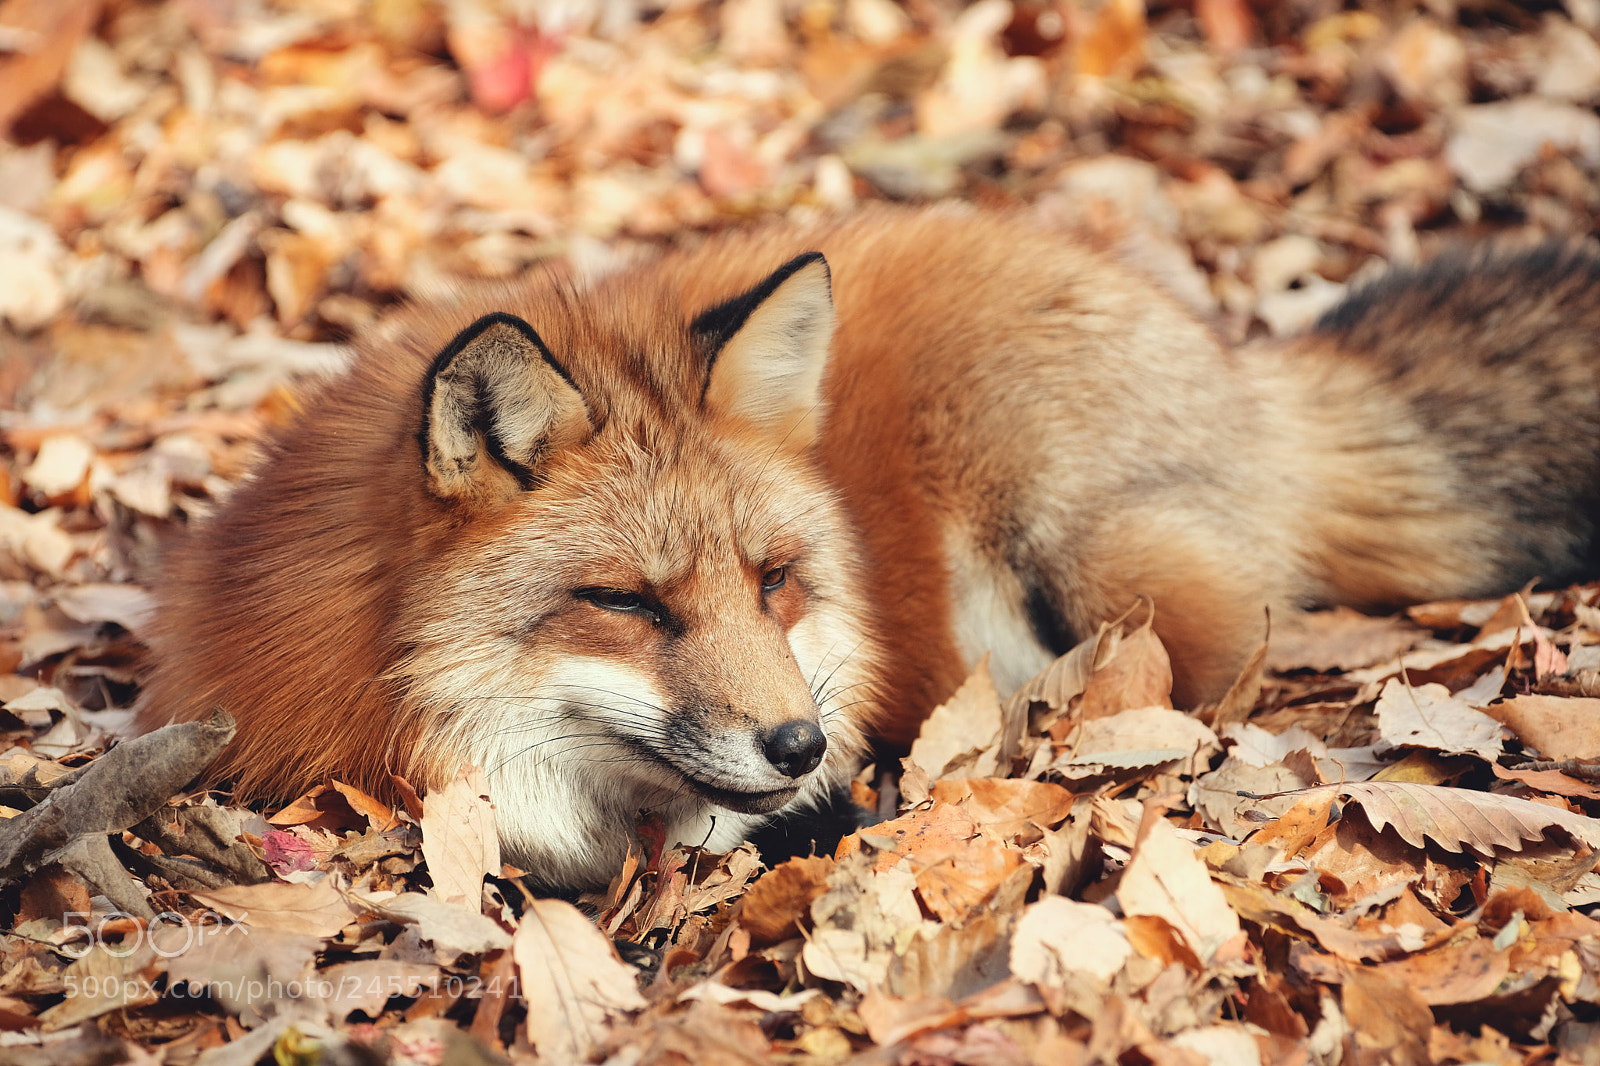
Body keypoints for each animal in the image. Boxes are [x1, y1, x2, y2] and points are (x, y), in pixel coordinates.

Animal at [138, 205, 1600, 890]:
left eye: (773, 581)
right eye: (629, 604)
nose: (799, 745)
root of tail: (1238, 362)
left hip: (1073, 546)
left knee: (1218, 671)